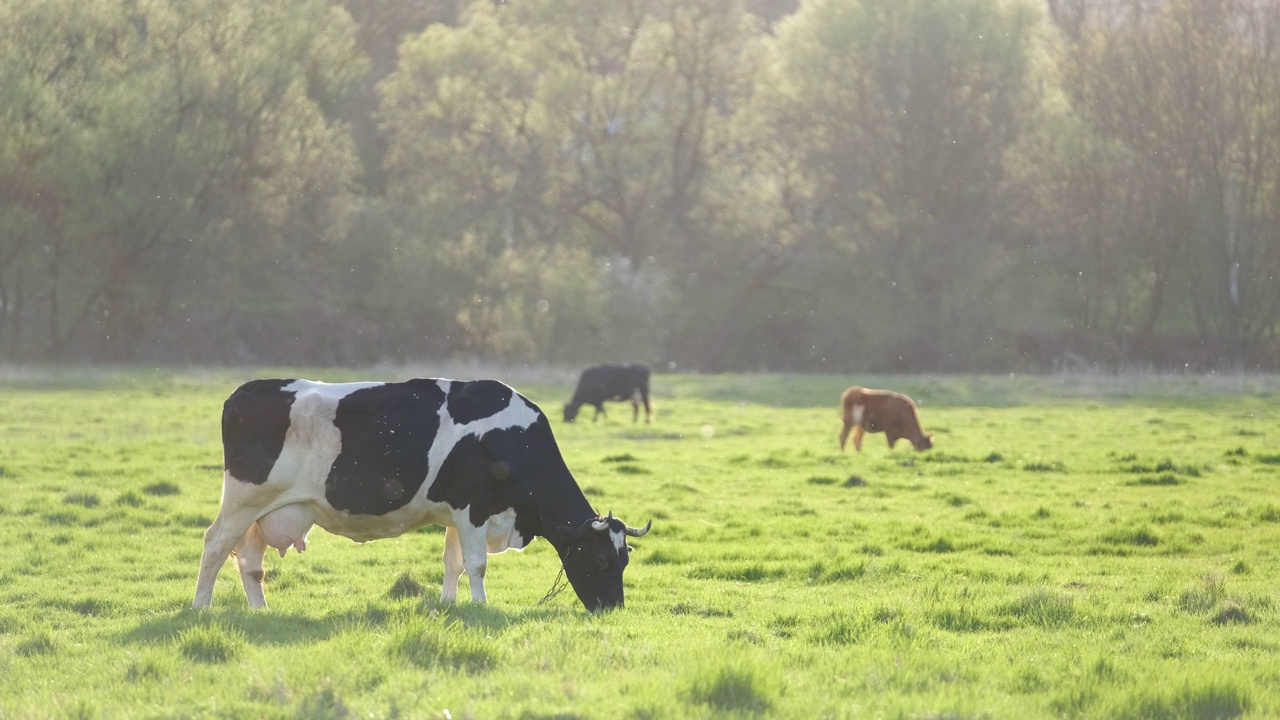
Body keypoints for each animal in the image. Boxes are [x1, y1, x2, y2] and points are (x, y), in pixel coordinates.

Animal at [194, 379, 655, 607]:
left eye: (625, 560)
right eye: (600, 559)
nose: (613, 607)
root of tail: (244, 390)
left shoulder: (456, 512)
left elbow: (453, 563)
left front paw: (450, 604)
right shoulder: (473, 508)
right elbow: (476, 564)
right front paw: (481, 606)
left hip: (266, 511)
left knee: (249, 560)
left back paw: (259, 609)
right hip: (244, 499)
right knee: (215, 545)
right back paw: (201, 605)